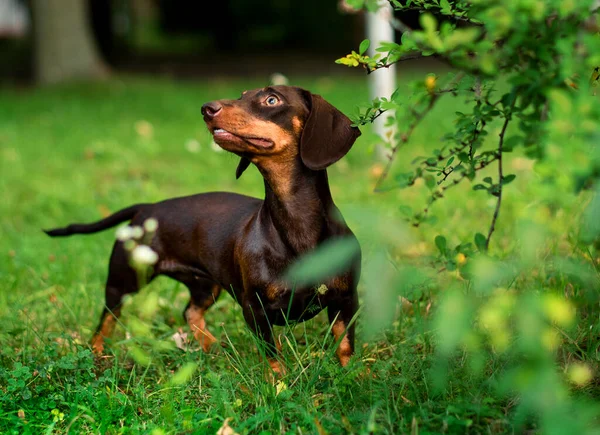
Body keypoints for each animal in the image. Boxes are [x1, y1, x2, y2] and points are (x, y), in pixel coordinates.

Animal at [44, 87, 360, 372]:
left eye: (272, 100)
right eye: (243, 94)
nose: (207, 109)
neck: (297, 225)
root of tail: (147, 208)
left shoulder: (346, 300)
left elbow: (345, 346)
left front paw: (354, 379)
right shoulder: (255, 308)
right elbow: (273, 357)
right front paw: (280, 386)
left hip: (204, 286)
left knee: (190, 312)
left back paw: (213, 348)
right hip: (124, 281)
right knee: (107, 318)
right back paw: (97, 353)